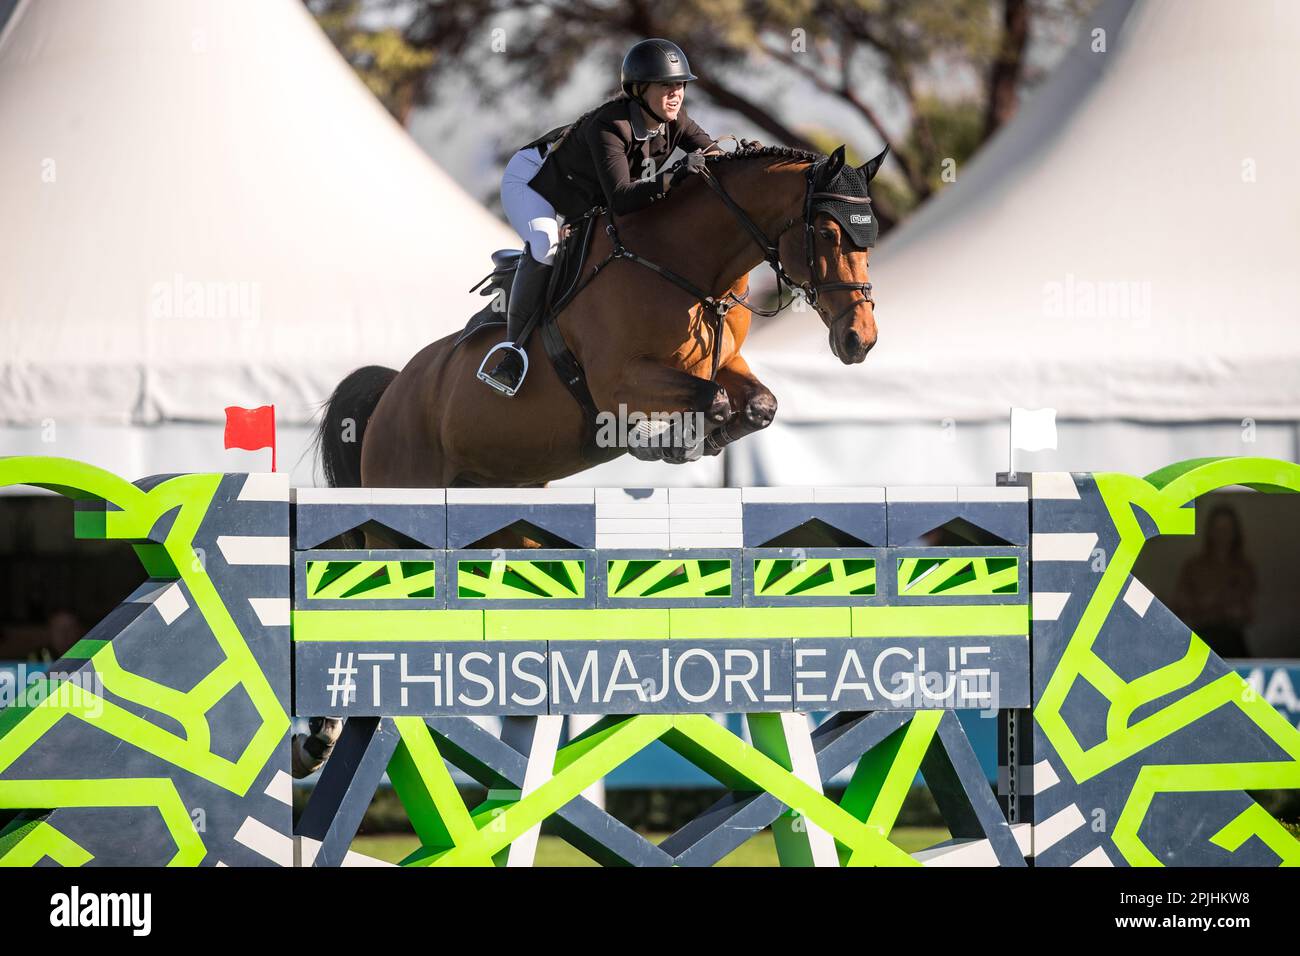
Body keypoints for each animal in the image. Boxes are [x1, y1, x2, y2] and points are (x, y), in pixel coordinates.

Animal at [315, 145, 889, 496]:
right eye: (829, 233)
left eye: (870, 236)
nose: (859, 340)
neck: (685, 262)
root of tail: (393, 391)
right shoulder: (617, 379)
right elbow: (713, 400)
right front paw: (662, 442)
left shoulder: (724, 361)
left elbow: (758, 404)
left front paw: (697, 442)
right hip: (405, 475)